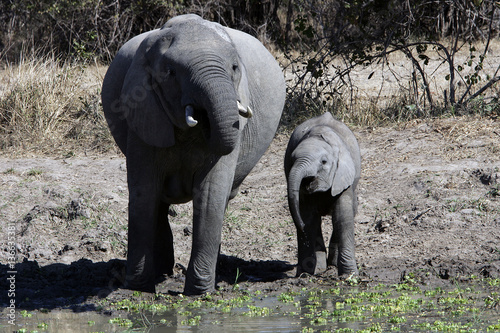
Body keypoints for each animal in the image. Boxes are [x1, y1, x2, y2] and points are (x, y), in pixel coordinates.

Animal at [101, 14, 286, 294]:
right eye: (171, 73)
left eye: (234, 68)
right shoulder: (143, 113)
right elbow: (144, 192)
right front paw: (137, 288)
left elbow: (210, 194)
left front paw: (198, 292)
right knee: (158, 201)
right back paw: (162, 272)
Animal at [286, 113, 360, 276]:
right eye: (292, 160)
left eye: (324, 162)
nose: (300, 226)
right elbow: (308, 218)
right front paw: (305, 275)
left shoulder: (343, 176)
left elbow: (342, 217)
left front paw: (349, 275)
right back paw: (320, 268)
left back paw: (332, 264)